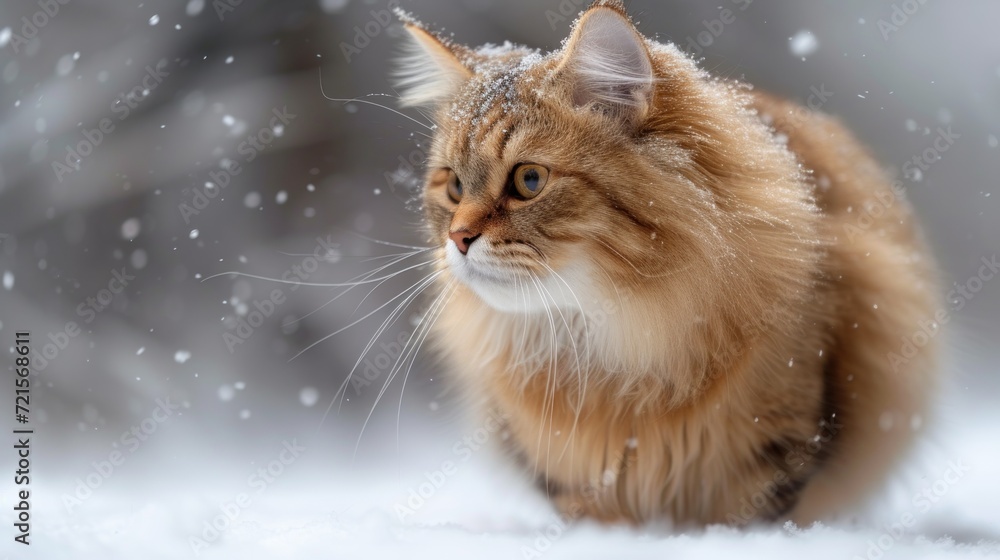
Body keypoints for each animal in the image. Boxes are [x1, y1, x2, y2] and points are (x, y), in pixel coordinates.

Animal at [390, 0, 936, 524]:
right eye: (454, 186)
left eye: (529, 181)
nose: (458, 238)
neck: (606, 341)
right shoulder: (566, 465)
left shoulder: (780, 437)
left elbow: (748, 515)